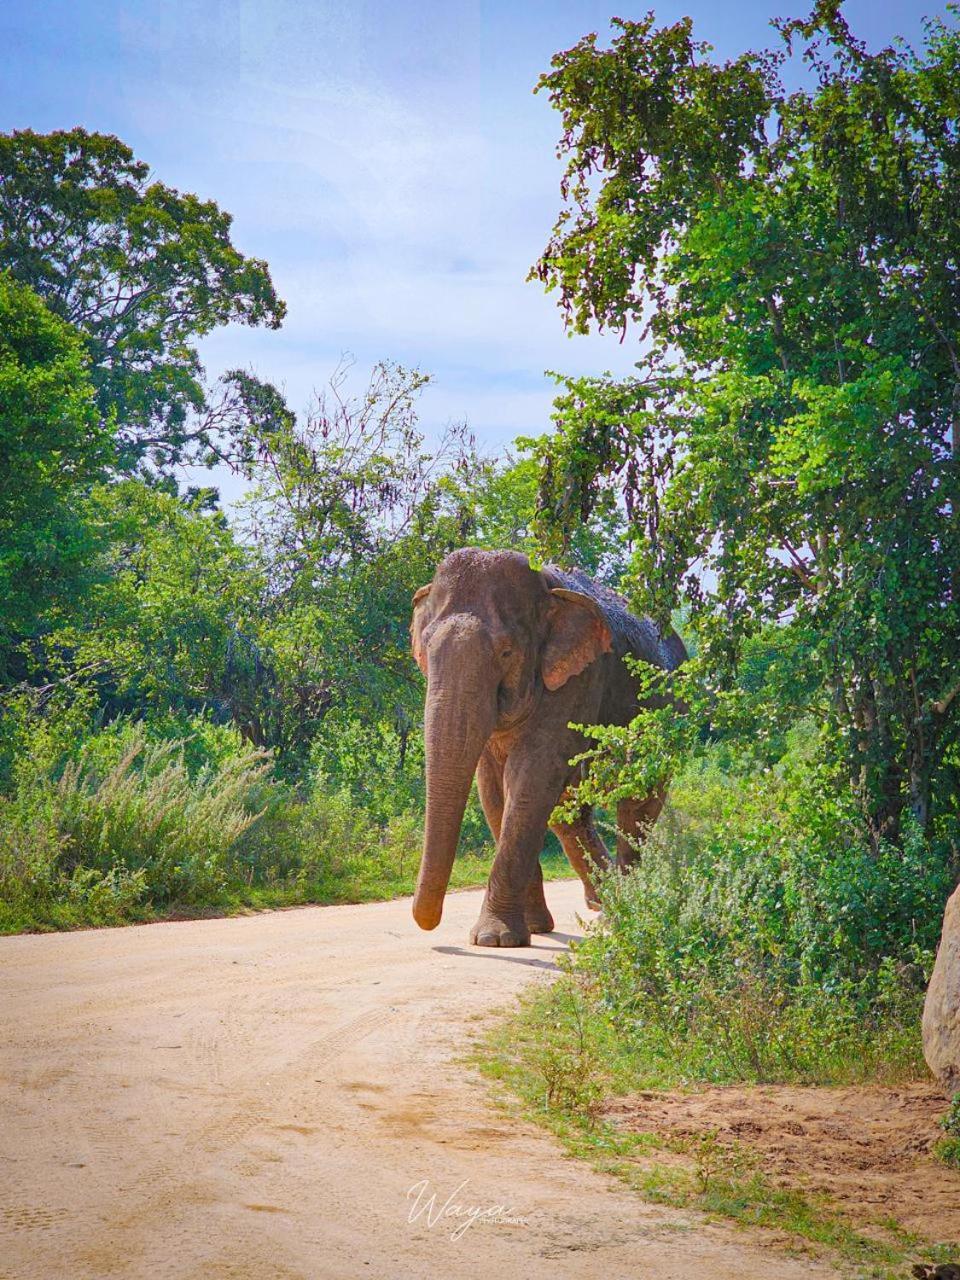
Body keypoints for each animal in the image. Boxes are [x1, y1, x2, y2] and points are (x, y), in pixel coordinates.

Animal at [409, 545, 686, 947]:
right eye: (425, 650)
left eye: (506, 653)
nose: (429, 925)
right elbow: (495, 789)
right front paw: (528, 931)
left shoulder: (579, 678)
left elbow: (531, 776)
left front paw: (493, 940)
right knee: (568, 809)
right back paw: (602, 900)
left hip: (667, 718)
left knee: (636, 802)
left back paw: (624, 912)